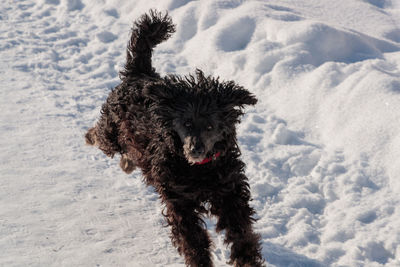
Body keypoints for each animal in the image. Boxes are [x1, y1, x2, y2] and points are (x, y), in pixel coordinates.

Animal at [85, 9, 266, 266]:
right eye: (186, 123)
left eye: (210, 126)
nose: (195, 149)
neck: (200, 170)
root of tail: (139, 72)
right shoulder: (180, 201)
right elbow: (192, 240)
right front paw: (200, 261)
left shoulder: (229, 192)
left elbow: (241, 231)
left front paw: (247, 259)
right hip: (111, 130)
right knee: (101, 136)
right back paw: (90, 137)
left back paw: (127, 162)